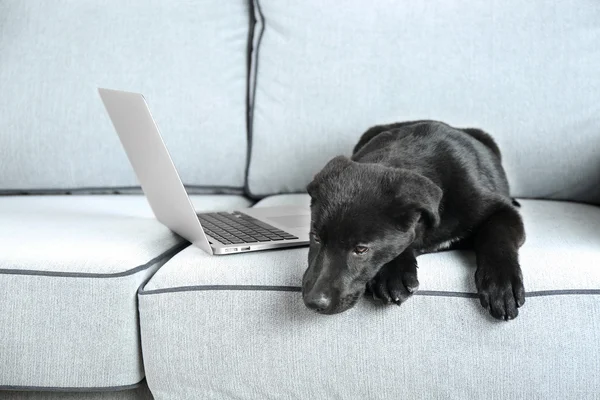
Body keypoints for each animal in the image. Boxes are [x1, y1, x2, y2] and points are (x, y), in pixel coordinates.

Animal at [302, 120, 524, 320]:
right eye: (316, 237)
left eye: (361, 249)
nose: (313, 302)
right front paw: (393, 274)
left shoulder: (503, 211)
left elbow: (497, 238)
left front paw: (501, 284)